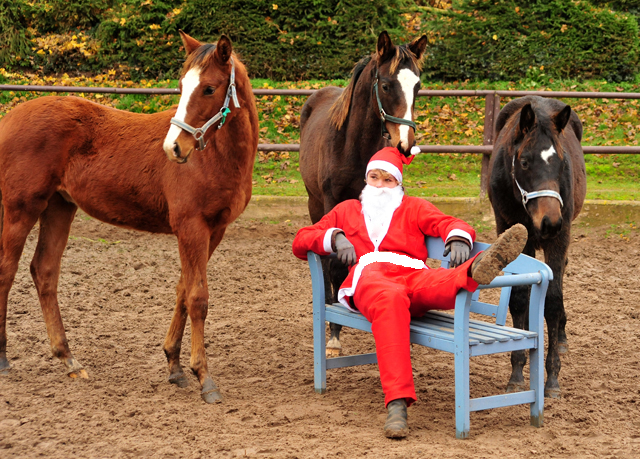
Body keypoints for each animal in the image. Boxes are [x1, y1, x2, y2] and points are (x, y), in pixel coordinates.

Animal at [0, 32, 260, 404]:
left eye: (209, 88)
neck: (217, 156)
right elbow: (197, 297)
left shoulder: (215, 231)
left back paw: (69, 360)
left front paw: (174, 366)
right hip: (21, 208)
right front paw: (204, 378)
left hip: (59, 207)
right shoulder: (191, 228)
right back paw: (4, 359)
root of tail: (10, 118)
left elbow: (182, 290)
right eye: (182, 85)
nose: (174, 148)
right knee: (7, 271)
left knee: (44, 271)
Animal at [298, 31, 428, 356]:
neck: (352, 145)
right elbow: (334, 262)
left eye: (418, 86)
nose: (405, 144)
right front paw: (334, 334)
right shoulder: (332, 203)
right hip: (314, 202)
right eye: (386, 85)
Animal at [490, 95, 584, 398]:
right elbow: (520, 297)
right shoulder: (513, 232)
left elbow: (553, 301)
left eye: (562, 162)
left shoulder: (559, 238)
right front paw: (517, 370)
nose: (550, 222)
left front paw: (552, 378)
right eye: (524, 162)